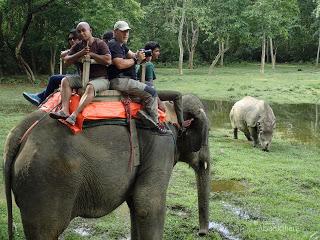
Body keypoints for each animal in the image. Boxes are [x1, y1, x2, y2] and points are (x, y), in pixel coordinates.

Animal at [4, 94, 212, 240]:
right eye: (207, 134)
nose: (202, 233)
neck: (169, 108)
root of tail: (20, 131)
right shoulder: (161, 146)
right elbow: (147, 204)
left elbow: (135, 204)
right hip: (44, 180)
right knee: (46, 231)